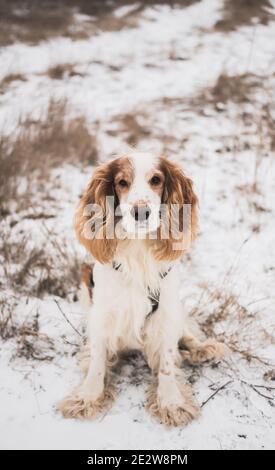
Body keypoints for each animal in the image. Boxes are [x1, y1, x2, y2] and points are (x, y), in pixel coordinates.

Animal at [58, 152, 226, 428]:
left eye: (156, 180)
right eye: (122, 182)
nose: (141, 212)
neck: (137, 249)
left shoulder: (165, 312)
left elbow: (167, 360)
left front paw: (171, 402)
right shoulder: (103, 314)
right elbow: (97, 360)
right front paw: (88, 397)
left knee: (185, 334)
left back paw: (201, 348)